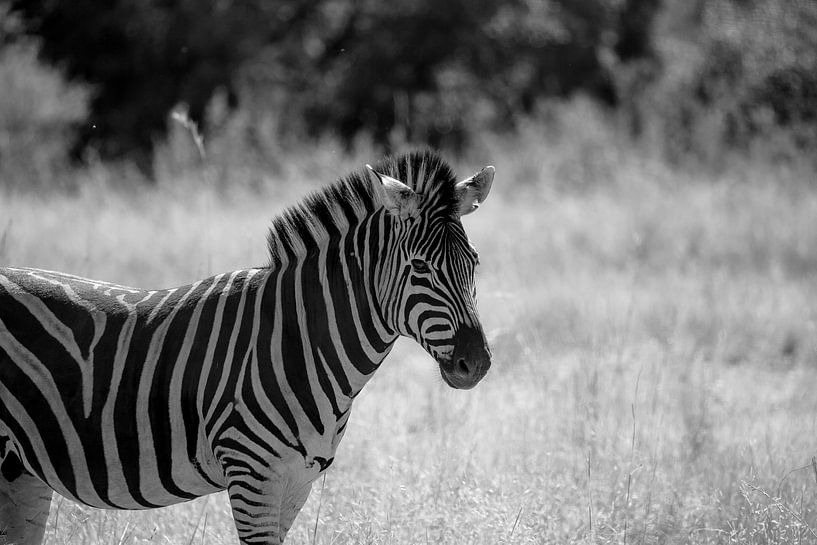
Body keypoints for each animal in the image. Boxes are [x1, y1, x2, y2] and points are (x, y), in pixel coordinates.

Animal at [0, 150, 490, 544]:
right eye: (420, 268)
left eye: (475, 263)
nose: (477, 364)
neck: (301, 341)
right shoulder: (253, 476)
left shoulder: (295, 483)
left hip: (20, 470)